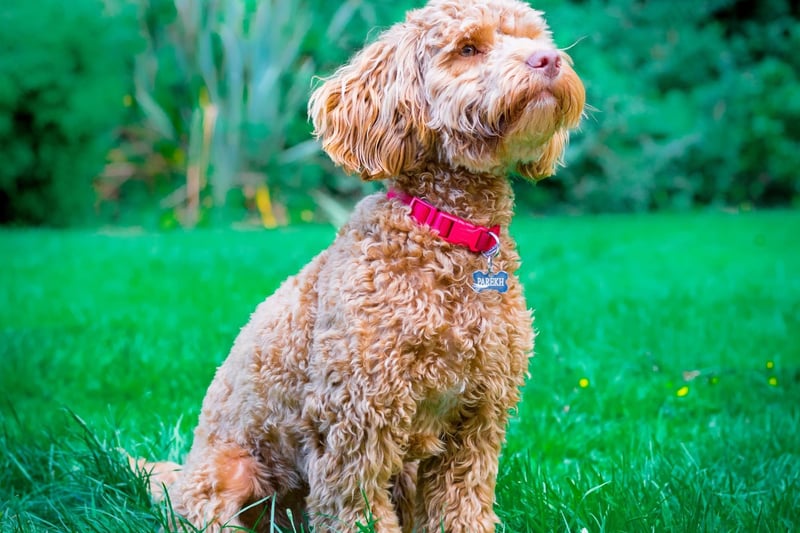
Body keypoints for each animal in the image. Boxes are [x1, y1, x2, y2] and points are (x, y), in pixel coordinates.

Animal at [134, 0, 584, 528]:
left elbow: (463, 506)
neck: (447, 232)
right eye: (468, 48)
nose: (548, 60)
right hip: (229, 473)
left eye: (532, 37)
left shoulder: (477, 421)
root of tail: (181, 472)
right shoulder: (358, 423)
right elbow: (360, 512)